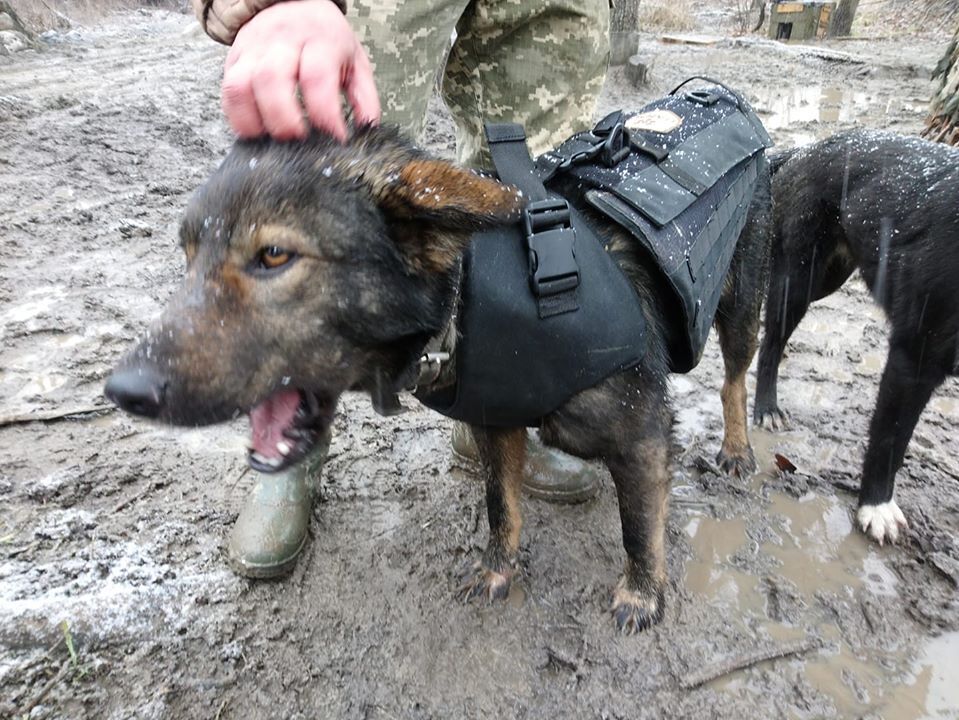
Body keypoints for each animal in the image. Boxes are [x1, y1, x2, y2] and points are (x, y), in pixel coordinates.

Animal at [109, 121, 776, 632]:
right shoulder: (498, 425)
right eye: (188, 257)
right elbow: (502, 506)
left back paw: (738, 448)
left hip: (743, 305)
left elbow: (639, 527)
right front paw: (497, 570)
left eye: (273, 255)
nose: (123, 390)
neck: (466, 300)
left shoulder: (643, 435)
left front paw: (642, 593)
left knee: (734, 379)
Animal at [756, 131, 959, 544]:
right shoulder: (914, 356)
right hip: (799, 280)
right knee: (770, 344)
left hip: (828, 277)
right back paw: (765, 407)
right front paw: (876, 507)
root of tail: (807, 148)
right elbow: (889, 438)